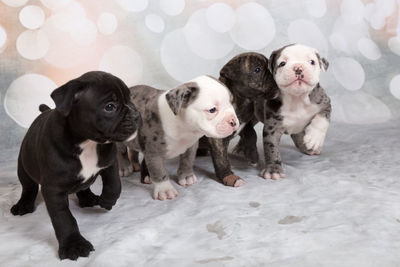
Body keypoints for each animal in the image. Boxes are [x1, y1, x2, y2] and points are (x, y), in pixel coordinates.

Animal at [10, 71, 141, 262]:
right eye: (110, 107)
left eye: (130, 99)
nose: (137, 114)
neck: (87, 142)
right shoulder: (54, 190)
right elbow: (64, 218)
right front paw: (74, 244)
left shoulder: (109, 162)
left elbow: (115, 184)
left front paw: (107, 200)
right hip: (24, 167)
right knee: (29, 187)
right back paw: (24, 205)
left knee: (84, 186)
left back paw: (88, 198)